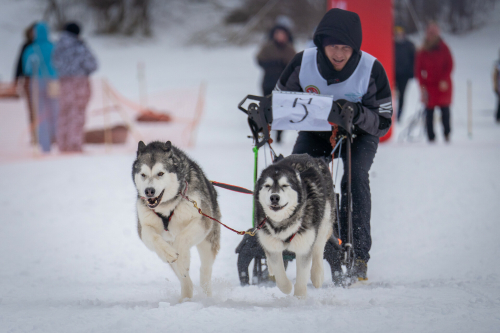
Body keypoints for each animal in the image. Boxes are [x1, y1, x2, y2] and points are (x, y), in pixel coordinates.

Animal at [132, 140, 220, 298]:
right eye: (143, 175)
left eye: (160, 173)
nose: (149, 191)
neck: (167, 206)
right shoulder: (144, 227)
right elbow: (154, 237)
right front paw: (172, 255)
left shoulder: (202, 220)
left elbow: (182, 239)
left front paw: (183, 261)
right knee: (184, 278)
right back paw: (185, 298)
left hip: (207, 242)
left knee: (205, 269)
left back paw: (206, 295)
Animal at [256, 153, 338, 296]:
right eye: (267, 185)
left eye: (285, 185)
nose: (274, 197)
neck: (283, 223)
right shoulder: (271, 243)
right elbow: (279, 273)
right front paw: (287, 287)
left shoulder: (304, 246)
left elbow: (302, 277)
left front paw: (299, 298)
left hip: (325, 220)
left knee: (319, 246)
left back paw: (317, 275)